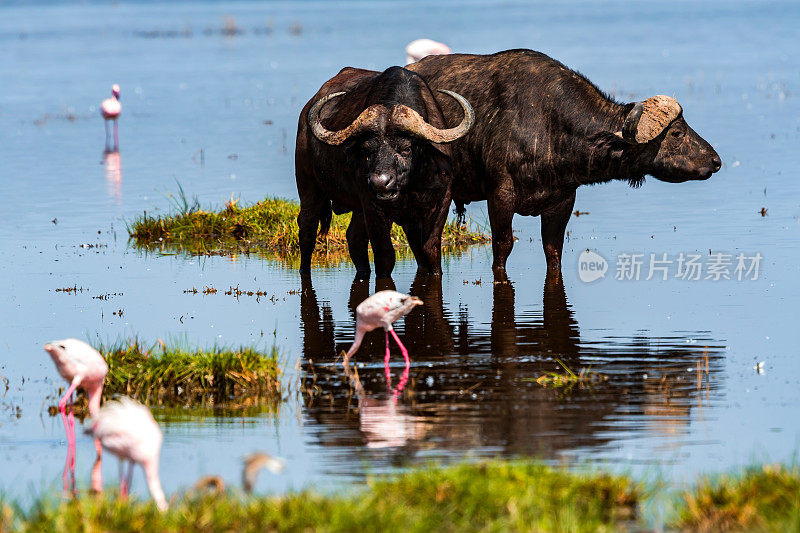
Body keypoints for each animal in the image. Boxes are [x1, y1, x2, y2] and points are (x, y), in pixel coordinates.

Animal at [298, 65, 476, 278]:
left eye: (406, 148)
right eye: (367, 149)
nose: (380, 183)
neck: (409, 186)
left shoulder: (440, 201)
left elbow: (429, 251)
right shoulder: (373, 206)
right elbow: (385, 256)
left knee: (354, 237)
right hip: (308, 186)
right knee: (307, 231)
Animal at [410, 49, 720, 280]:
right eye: (677, 133)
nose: (716, 161)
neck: (549, 124)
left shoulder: (563, 202)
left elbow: (553, 250)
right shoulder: (500, 196)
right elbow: (503, 246)